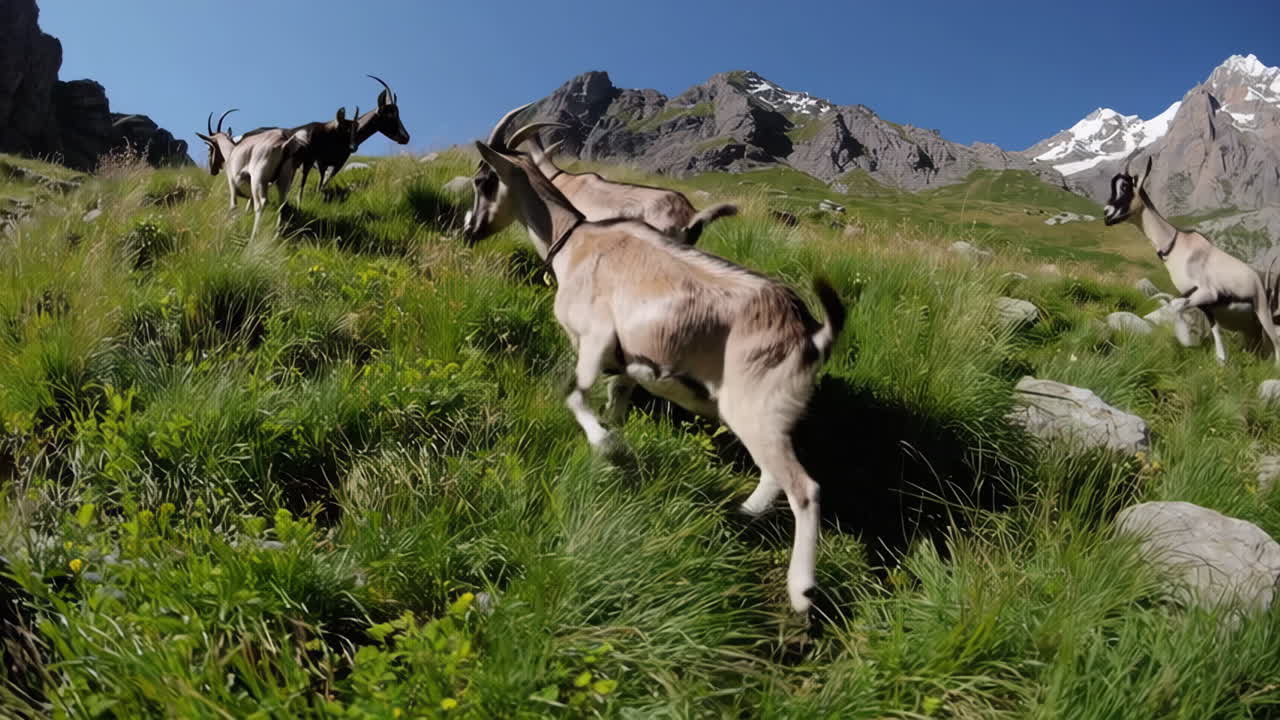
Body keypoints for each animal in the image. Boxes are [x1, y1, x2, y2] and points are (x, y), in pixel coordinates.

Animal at [196, 109, 300, 238]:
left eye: (210, 148)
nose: (212, 170)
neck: (233, 151)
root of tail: (283, 144)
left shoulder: (232, 185)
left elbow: (233, 207)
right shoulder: (250, 196)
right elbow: (247, 210)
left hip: (258, 181)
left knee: (261, 203)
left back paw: (254, 236)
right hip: (283, 182)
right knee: (283, 205)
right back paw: (276, 236)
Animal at [472, 139, 846, 614]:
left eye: (483, 180)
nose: (467, 230)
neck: (577, 241)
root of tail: (811, 332)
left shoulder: (594, 338)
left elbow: (574, 396)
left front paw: (608, 446)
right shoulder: (626, 359)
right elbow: (615, 396)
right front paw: (614, 434)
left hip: (755, 408)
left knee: (803, 487)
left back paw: (801, 590)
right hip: (765, 416)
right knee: (772, 474)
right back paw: (737, 515)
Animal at [1104, 156, 1280, 366]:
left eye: (1125, 187)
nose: (1106, 214)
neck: (1177, 246)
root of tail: (1256, 278)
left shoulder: (1207, 292)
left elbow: (1175, 307)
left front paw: (1185, 341)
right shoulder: (1204, 303)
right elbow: (1213, 327)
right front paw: (1221, 360)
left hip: (1262, 309)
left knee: (1275, 340)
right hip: (1251, 321)